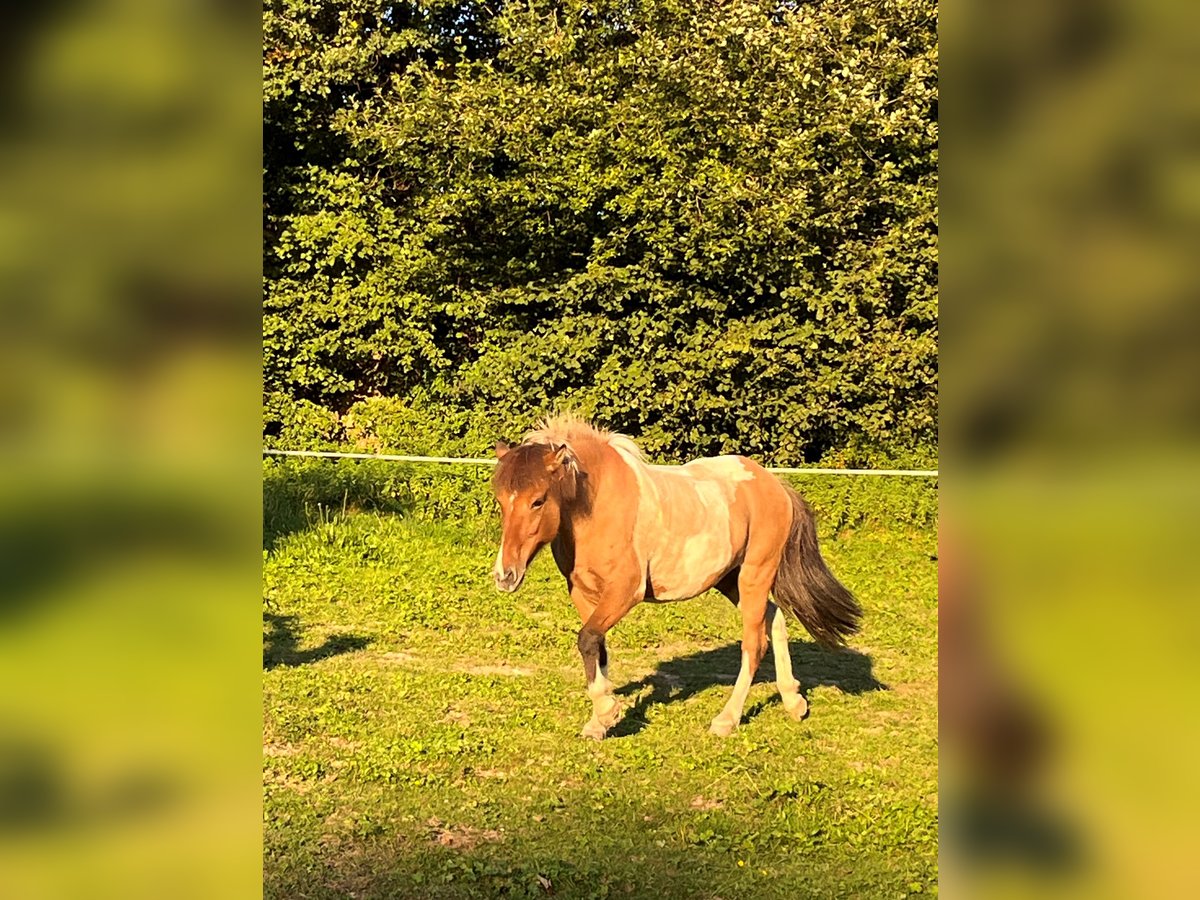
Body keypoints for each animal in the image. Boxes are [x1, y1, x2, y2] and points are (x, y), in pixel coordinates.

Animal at [490, 415, 861, 740]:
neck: (596, 507)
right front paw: (600, 721)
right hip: (730, 579)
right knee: (775, 618)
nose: (505, 576)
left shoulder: (625, 591)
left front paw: (608, 712)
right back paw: (794, 701)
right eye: (501, 501)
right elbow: (597, 646)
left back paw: (727, 720)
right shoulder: (583, 593)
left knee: (754, 643)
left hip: (755, 574)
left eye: (538, 501)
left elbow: (587, 639)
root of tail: (775, 485)